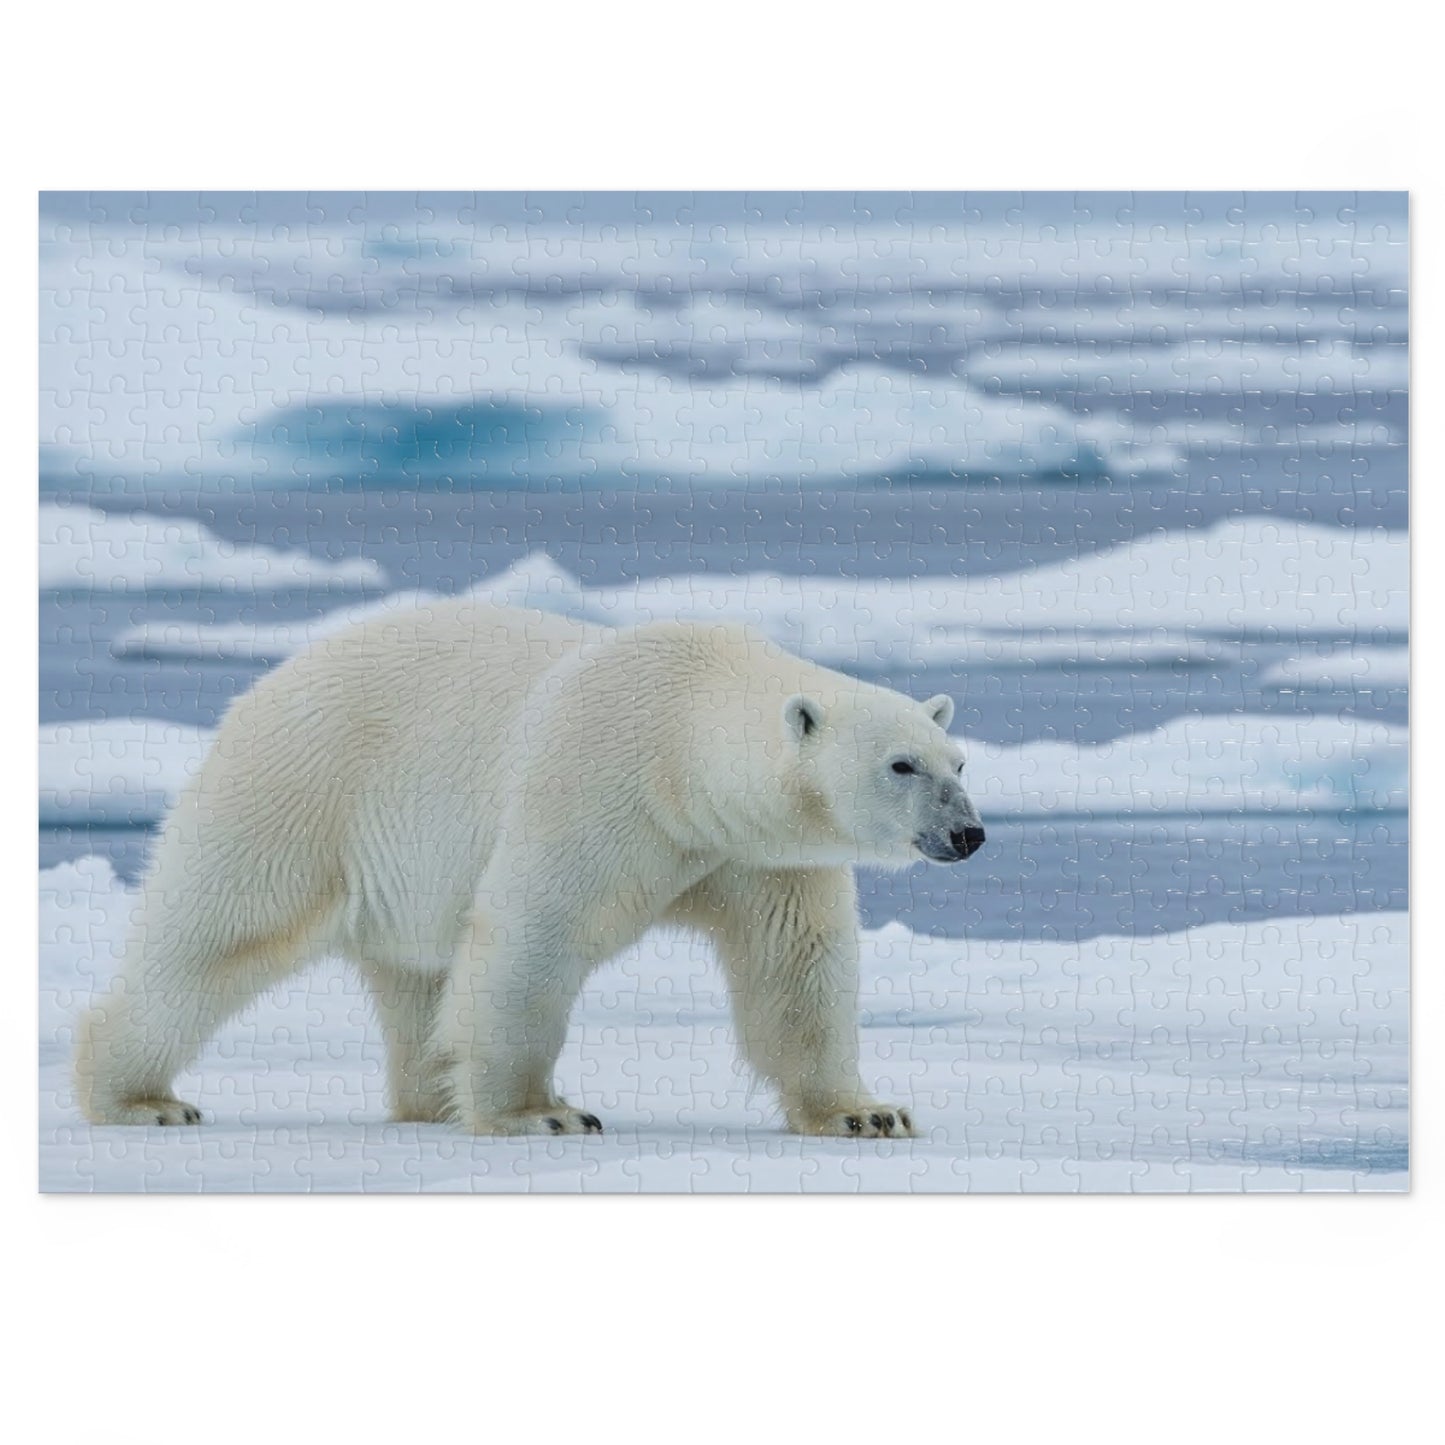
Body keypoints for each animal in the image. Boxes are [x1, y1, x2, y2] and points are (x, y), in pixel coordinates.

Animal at [74, 602, 985, 1138]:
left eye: (958, 759)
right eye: (901, 764)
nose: (968, 833)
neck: (682, 738)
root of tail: (269, 679)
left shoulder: (757, 851)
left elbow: (796, 967)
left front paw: (867, 1112)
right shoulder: (596, 781)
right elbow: (533, 936)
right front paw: (541, 1111)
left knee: (418, 978)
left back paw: (431, 1097)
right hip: (300, 792)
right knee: (211, 938)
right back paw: (141, 1097)